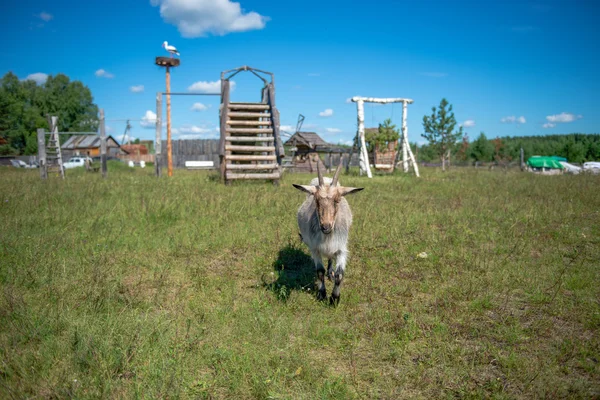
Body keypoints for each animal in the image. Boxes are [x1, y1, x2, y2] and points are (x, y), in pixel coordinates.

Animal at [292, 159, 364, 304]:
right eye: (316, 200)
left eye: (337, 200)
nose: (326, 226)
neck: (327, 237)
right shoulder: (314, 248)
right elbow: (320, 271)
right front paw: (322, 294)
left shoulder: (341, 247)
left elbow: (339, 274)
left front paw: (335, 298)